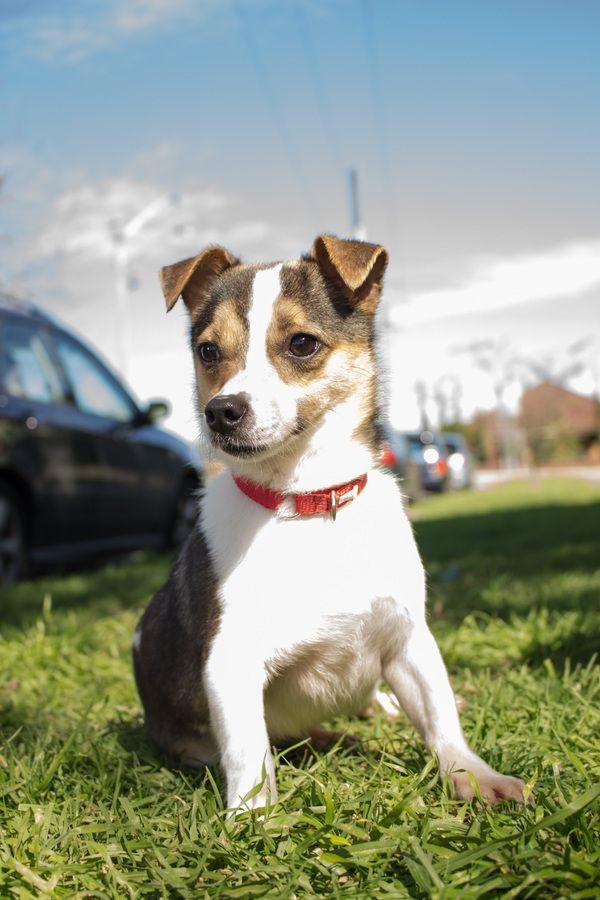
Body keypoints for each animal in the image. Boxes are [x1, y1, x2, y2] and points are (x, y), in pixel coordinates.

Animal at [134, 236, 528, 812]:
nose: (221, 411)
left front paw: (472, 774)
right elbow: (248, 754)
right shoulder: (230, 663)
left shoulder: (409, 639)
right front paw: (253, 818)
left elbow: (440, 719)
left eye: (301, 344)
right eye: (207, 351)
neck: (307, 502)